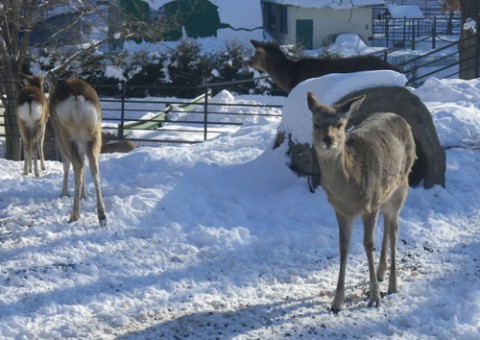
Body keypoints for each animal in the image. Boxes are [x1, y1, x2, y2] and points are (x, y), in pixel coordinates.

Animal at [46, 72, 106, 226]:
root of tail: (77, 101)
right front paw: (84, 196)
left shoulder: (58, 139)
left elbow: (66, 165)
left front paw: (64, 193)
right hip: (94, 135)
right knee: (94, 167)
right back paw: (102, 216)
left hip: (66, 135)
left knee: (76, 165)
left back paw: (74, 214)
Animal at [308, 91, 416, 314]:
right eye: (316, 123)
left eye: (340, 123)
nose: (329, 139)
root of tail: (400, 118)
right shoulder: (340, 210)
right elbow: (343, 246)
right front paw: (337, 302)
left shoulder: (370, 205)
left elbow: (368, 244)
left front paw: (375, 298)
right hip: (386, 194)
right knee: (388, 224)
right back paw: (382, 271)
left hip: (401, 186)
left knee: (394, 228)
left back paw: (392, 284)